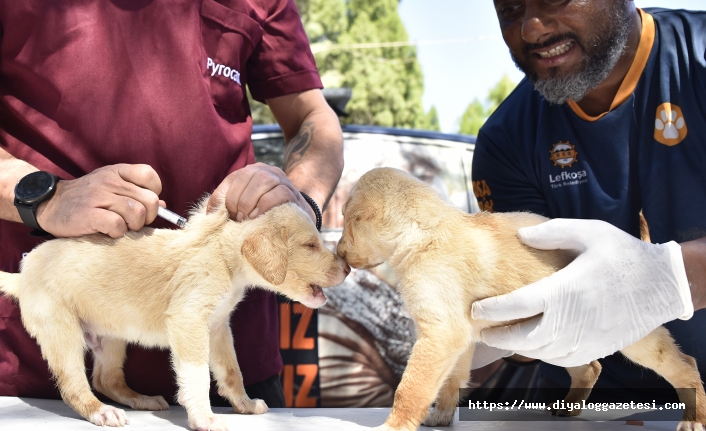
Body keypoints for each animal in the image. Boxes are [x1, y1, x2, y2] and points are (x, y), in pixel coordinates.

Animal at [0, 198, 350, 431]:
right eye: (309, 245)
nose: (347, 267)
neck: (223, 254)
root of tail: (23, 273)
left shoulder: (218, 327)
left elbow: (231, 371)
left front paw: (245, 405)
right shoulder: (189, 321)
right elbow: (197, 376)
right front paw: (205, 418)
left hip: (111, 338)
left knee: (106, 378)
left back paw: (140, 399)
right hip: (63, 333)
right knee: (75, 386)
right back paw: (101, 412)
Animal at [336, 168, 704, 431]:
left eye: (347, 223)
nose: (338, 253)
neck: (422, 234)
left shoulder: (439, 336)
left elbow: (411, 388)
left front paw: (394, 425)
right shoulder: (459, 339)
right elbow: (451, 381)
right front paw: (441, 417)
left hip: (636, 339)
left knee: (686, 365)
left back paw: (693, 418)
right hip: (561, 338)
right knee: (590, 368)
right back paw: (570, 406)